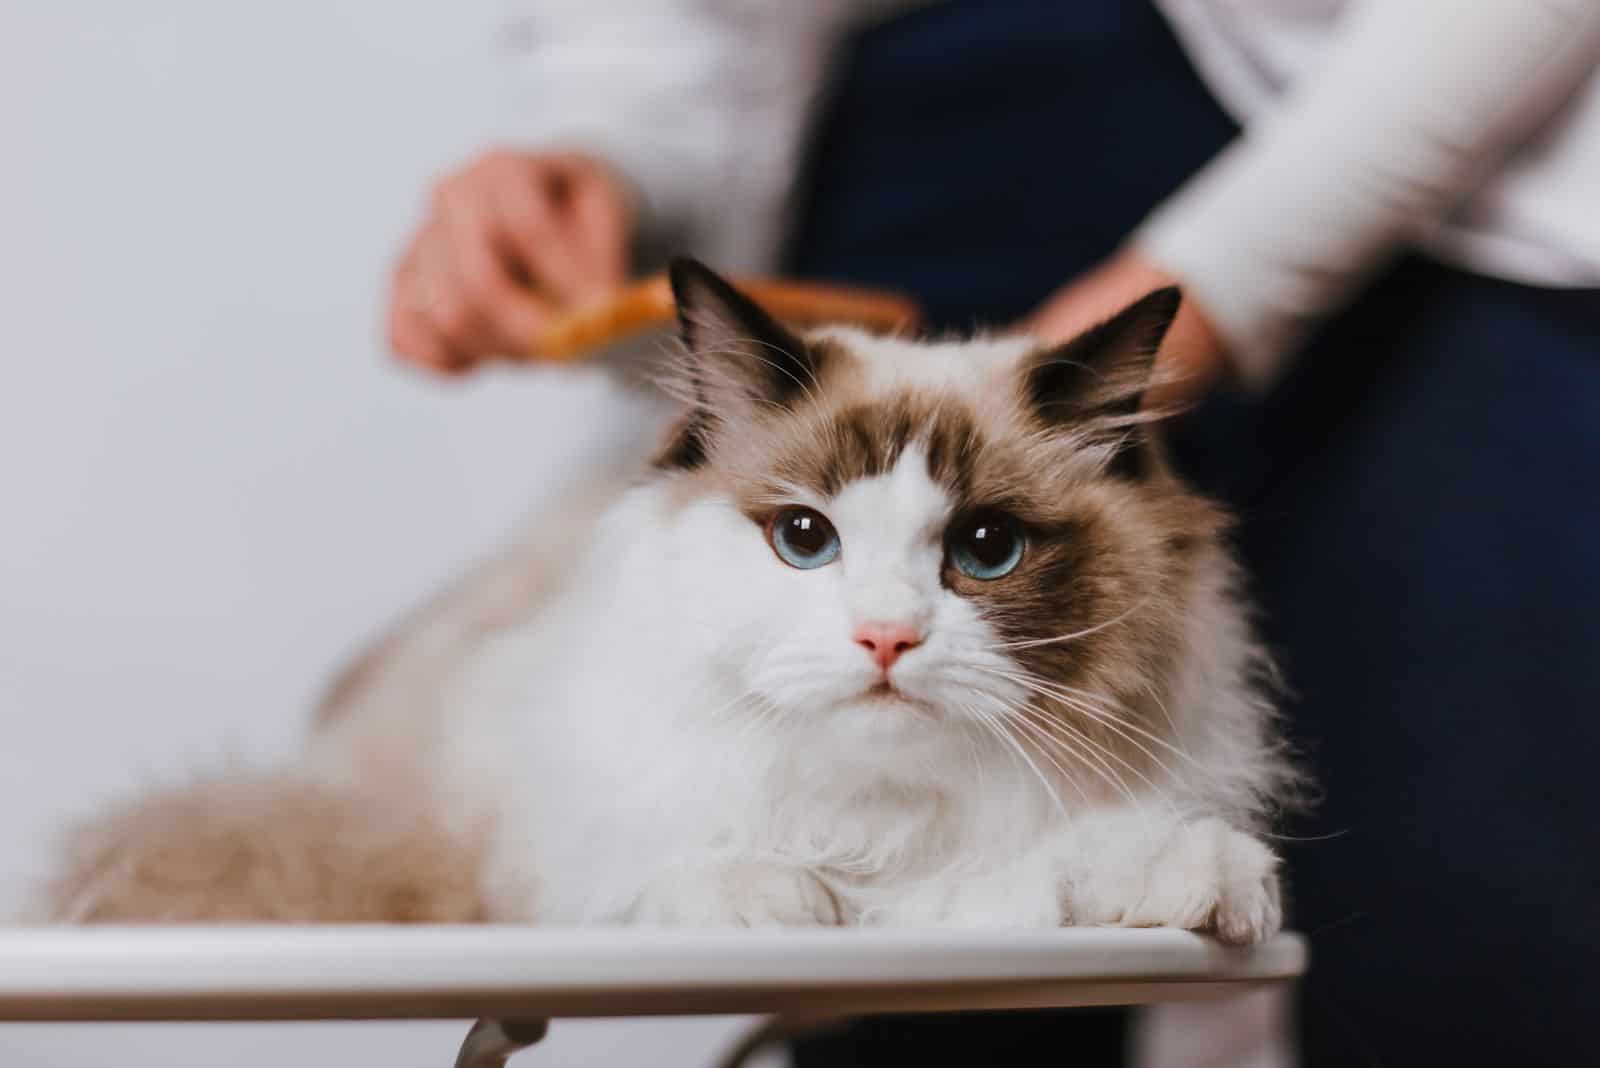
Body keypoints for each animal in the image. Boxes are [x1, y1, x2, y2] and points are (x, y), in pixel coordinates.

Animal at [43, 259, 1299, 940]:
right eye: (804, 539)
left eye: (985, 549)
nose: (884, 637)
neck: (875, 830)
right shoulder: (545, 857)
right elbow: (672, 870)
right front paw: (780, 898)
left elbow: (1077, 861)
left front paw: (1198, 885)